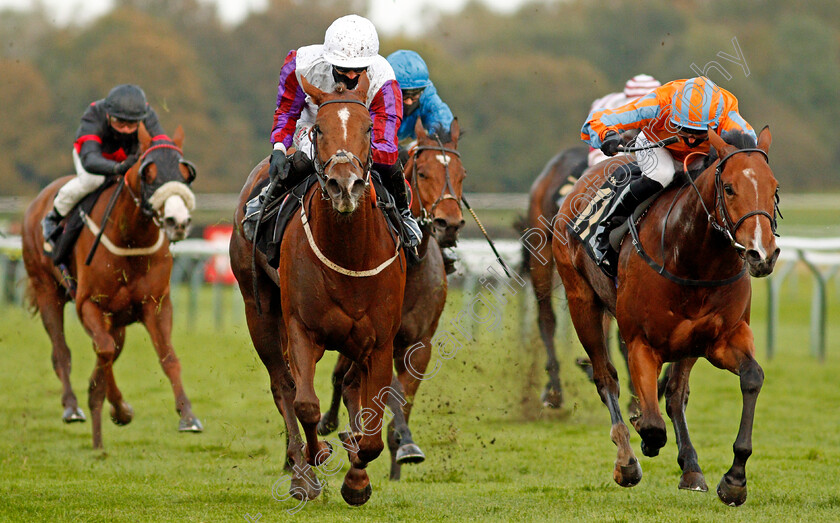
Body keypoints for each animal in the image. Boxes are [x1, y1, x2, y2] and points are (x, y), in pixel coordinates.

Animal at [22, 124, 200, 450]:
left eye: (185, 173)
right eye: (148, 172)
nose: (177, 221)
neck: (131, 241)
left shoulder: (155, 304)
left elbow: (167, 357)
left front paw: (187, 415)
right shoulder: (89, 305)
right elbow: (103, 350)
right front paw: (119, 408)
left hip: (115, 319)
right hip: (46, 290)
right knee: (61, 351)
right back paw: (72, 406)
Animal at [230, 73, 406, 508]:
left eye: (368, 128)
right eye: (320, 129)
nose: (345, 185)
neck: (350, 253)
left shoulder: (380, 340)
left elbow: (372, 429)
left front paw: (357, 477)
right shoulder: (301, 329)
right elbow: (305, 404)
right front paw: (317, 458)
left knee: (349, 386)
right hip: (259, 310)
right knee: (283, 386)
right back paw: (302, 474)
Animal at [318, 116, 470, 482]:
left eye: (462, 174)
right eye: (423, 172)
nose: (449, 223)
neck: (411, 274)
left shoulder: (420, 345)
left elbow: (404, 398)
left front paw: (400, 456)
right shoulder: (378, 341)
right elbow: (390, 394)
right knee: (343, 380)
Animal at [552, 128, 780, 508]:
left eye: (773, 186)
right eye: (729, 187)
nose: (762, 253)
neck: (691, 255)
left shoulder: (721, 338)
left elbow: (752, 377)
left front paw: (734, 480)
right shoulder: (641, 343)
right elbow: (652, 423)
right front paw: (642, 437)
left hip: (687, 343)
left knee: (675, 394)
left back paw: (691, 468)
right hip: (581, 302)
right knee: (606, 378)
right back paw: (627, 459)